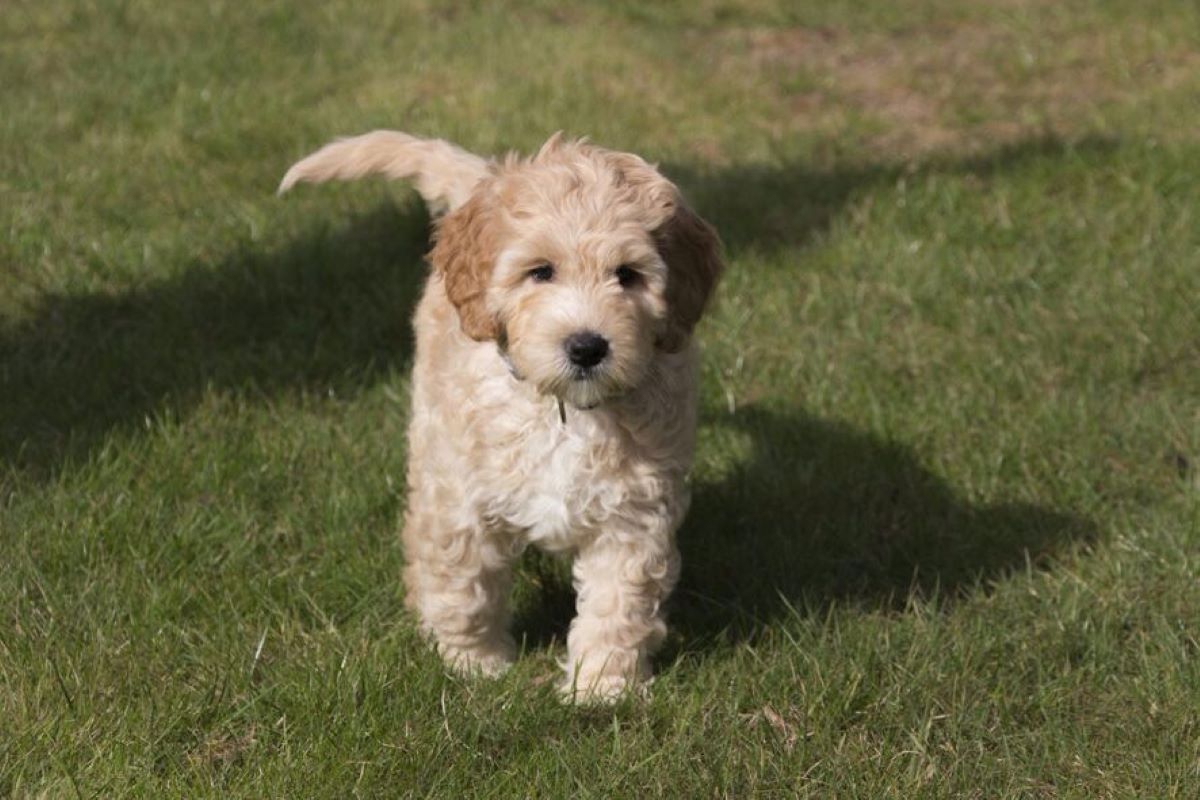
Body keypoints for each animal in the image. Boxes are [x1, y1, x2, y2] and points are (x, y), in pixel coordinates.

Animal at [278, 131, 720, 700]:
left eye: (628, 276)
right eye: (541, 272)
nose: (587, 347)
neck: (563, 410)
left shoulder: (633, 516)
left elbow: (618, 603)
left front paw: (601, 688)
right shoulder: (464, 502)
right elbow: (465, 586)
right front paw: (473, 664)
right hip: (431, 435)